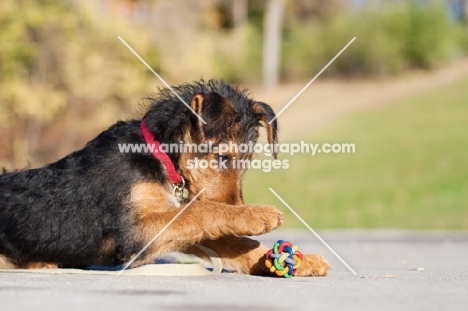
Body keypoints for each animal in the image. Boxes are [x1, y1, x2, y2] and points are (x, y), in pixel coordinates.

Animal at [0, 79, 330, 276]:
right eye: (223, 157)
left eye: (247, 162)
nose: (238, 205)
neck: (159, 155)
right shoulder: (134, 233)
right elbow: (202, 211)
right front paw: (254, 215)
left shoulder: (164, 224)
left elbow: (220, 235)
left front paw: (299, 260)